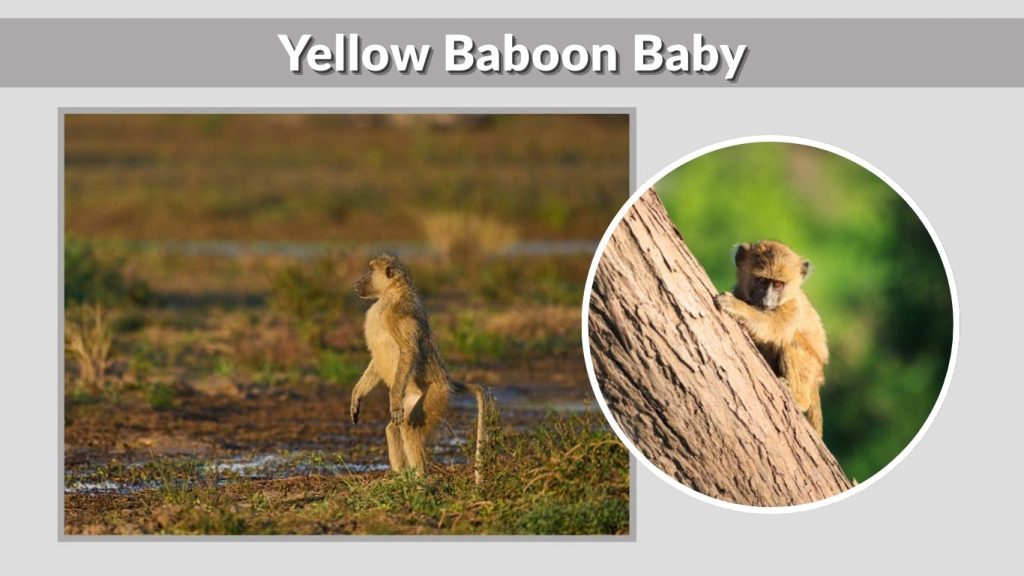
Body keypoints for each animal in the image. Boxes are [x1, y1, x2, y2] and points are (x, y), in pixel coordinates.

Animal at [349, 252, 487, 484]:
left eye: (370, 270)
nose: (357, 283)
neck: (390, 295)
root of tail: (446, 380)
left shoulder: (400, 317)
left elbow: (408, 351)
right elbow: (377, 360)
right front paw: (356, 397)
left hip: (435, 394)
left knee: (409, 427)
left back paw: (420, 479)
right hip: (410, 398)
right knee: (394, 428)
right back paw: (400, 478)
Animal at [713, 241, 829, 436]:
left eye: (778, 284)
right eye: (761, 280)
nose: (766, 302)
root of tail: (818, 378)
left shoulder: (792, 308)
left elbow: (771, 326)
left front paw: (736, 307)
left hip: (811, 366)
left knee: (791, 342)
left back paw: (800, 399)